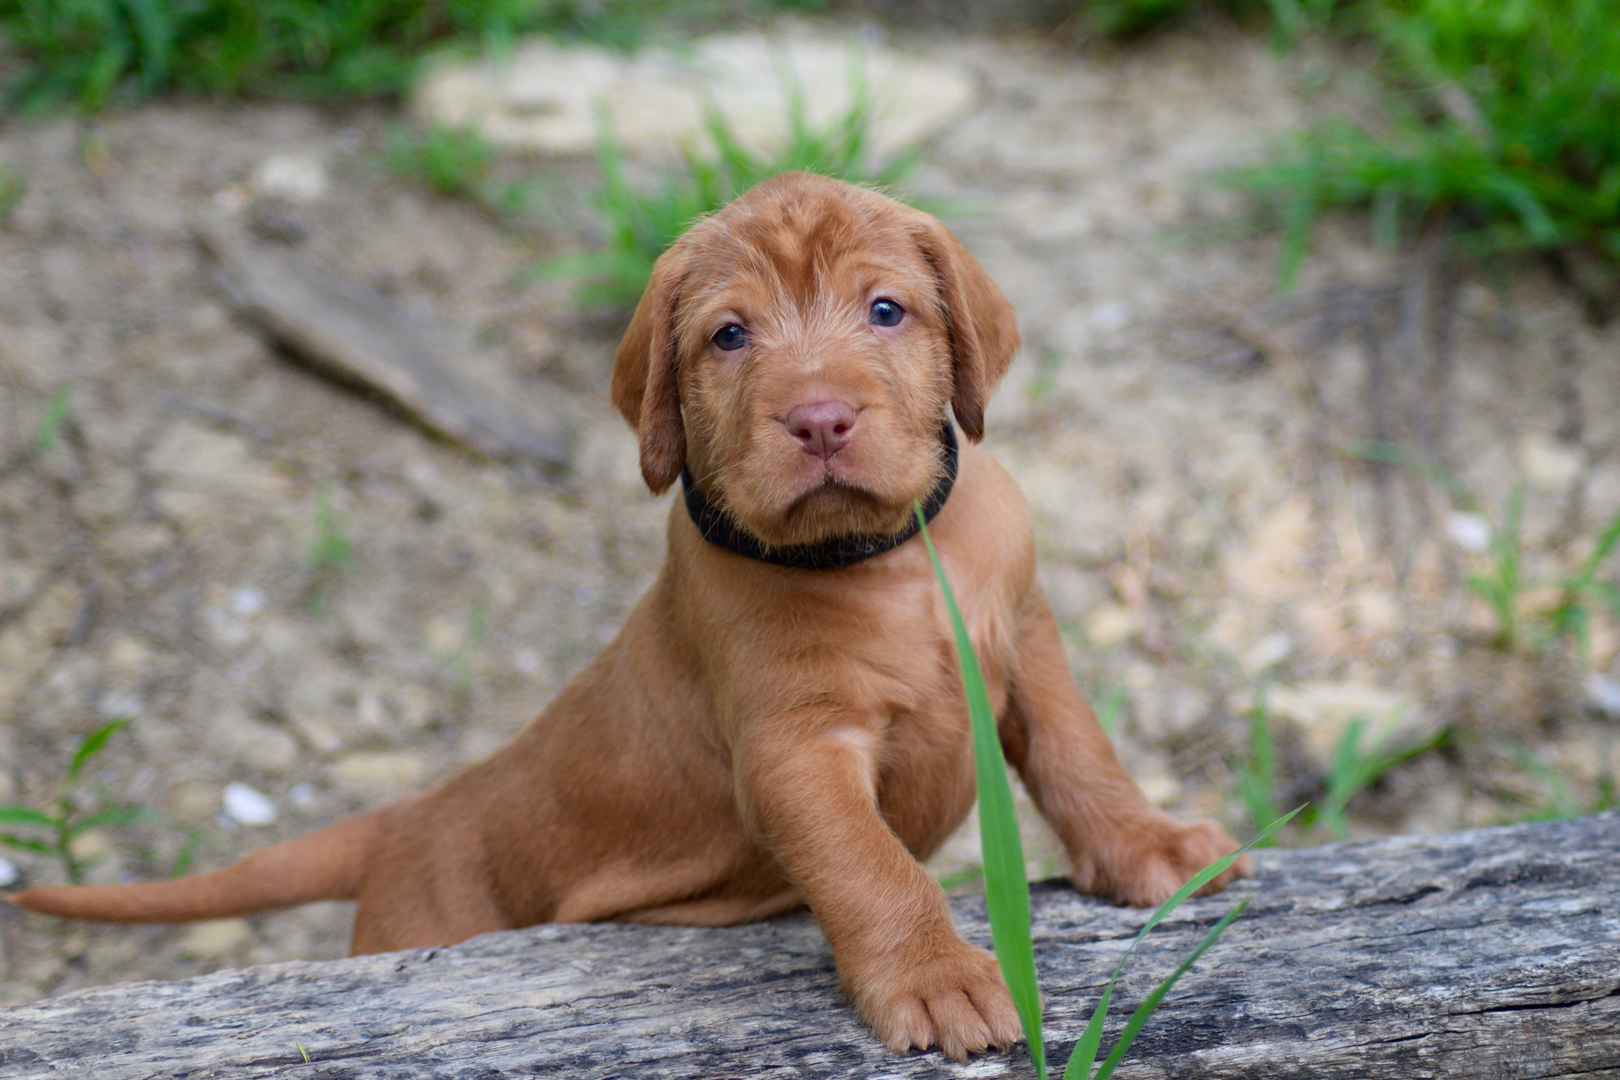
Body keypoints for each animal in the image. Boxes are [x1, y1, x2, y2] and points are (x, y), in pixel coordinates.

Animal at [6, 173, 1244, 1062]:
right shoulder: (796, 753)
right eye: (730, 336)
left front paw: (1153, 848)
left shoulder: (1025, 642)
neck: (885, 560)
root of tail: (415, 813)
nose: (820, 419)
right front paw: (936, 976)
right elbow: (873, 868)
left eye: (887, 309)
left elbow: (1082, 755)